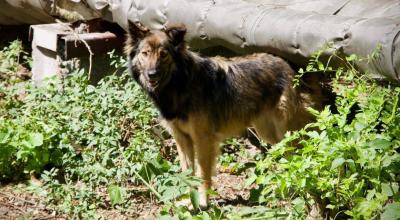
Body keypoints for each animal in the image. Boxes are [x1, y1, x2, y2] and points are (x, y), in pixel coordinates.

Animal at [126, 20, 324, 208]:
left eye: (163, 54)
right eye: (145, 53)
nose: (152, 74)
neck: (180, 83)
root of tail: (295, 69)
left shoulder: (203, 139)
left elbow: (202, 174)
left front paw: (203, 203)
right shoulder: (182, 139)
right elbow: (187, 173)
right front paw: (190, 202)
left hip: (287, 132)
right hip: (269, 133)